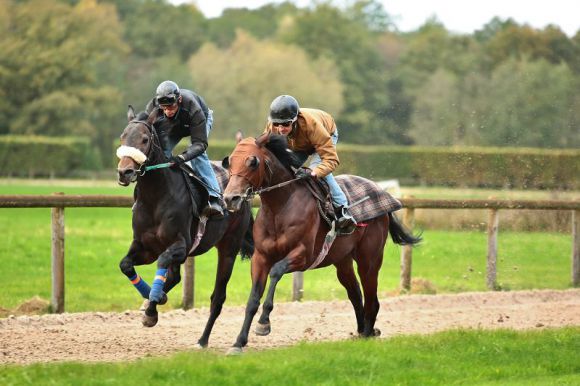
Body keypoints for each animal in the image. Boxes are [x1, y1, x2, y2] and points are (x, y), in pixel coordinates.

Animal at [116, 105, 253, 346]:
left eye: (144, 139)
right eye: (123, 136)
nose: (125, 172)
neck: (155, 197)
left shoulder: (180, 244)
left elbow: (163, 260)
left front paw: (151, 310)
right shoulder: (144, 246)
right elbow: (126, 265)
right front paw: (151, 297)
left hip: (229, 246)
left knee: (218, 297)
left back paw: (202, 340)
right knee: (175, 276)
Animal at [222, 134, 422, 354]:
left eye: (253, 162)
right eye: (229, 161)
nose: (230, 198)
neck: (280, 208)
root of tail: (381, 192)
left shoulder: (303, 255)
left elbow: (276, 271)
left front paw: (264, 323)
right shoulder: (261, 258)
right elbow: (252, 299)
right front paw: (238, 342)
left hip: (369, 259)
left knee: (372, 299)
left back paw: (368, 333)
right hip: (342, 261)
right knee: (355, 293)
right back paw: (362, 331)